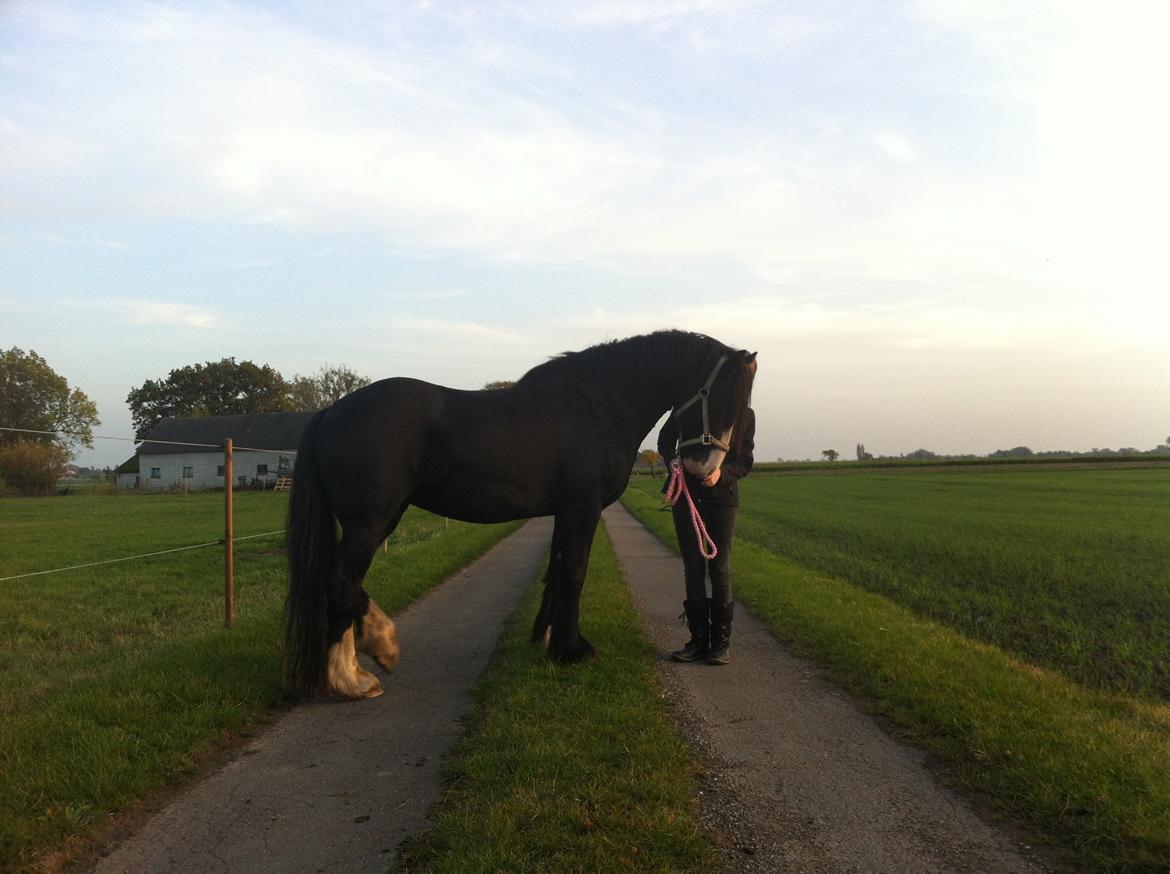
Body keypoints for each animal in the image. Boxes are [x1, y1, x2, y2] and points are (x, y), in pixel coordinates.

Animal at [284, 332, 758, 702]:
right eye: (718, 396)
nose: (703, 470)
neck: (598, 405)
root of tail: (330, 412)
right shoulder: (582, 507)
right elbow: (575, 572)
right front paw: (573, 648)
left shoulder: (564, 511)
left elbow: (558, 569)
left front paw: (547, 639)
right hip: (369, 520)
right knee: (341, 583)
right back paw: (358, 672)